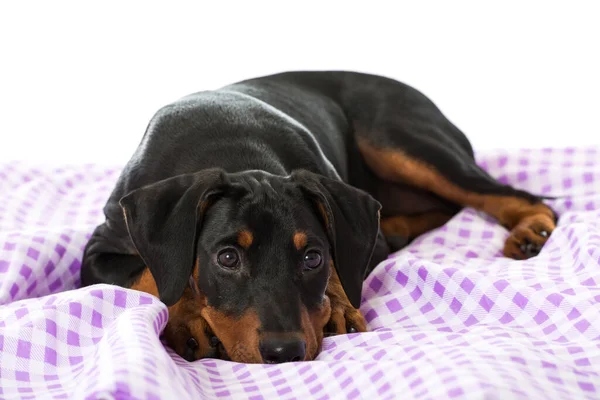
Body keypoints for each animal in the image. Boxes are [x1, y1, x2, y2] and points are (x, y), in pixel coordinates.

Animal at [78, 70, 552, 364]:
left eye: (313, 258)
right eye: (227, 258)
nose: (284, 352)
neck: (230, 148)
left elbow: (346, 263)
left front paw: (339, 307)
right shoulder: (99, 252)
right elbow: (155, 273)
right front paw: (187, 319)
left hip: (398, 137)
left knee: (511, 194)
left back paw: (532, 229)